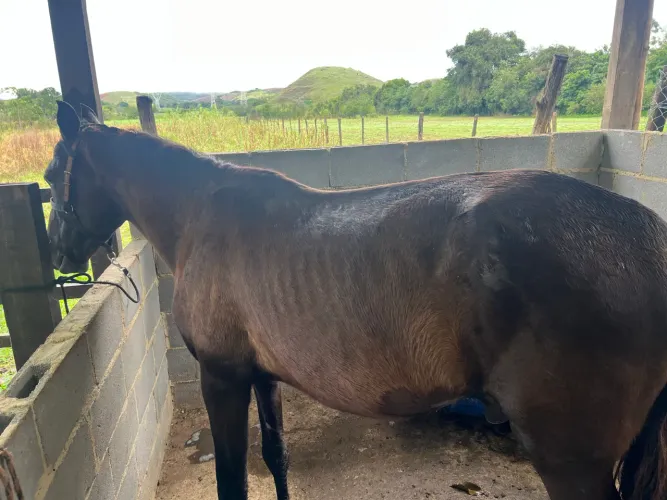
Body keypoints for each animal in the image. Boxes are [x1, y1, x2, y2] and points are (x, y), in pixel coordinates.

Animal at [44, 101, 667, 500]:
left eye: (52, 175)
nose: (59, 252)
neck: (200, 216)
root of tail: (648, 240)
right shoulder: (261, 375)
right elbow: (276, 457)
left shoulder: (223, 376)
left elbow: (232, 481)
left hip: (570, 461)